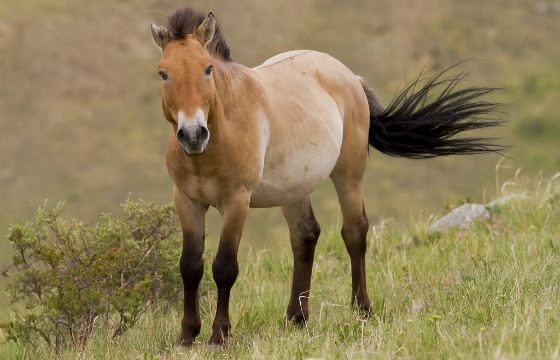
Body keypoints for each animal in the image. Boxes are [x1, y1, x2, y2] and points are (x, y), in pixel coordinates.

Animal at [150, 7, 504, 346]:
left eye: (207, 68)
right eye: (163, 73)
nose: (193, 134)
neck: (219, 136)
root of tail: (348, 75)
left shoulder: (237, 201)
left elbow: (224, 267)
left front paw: (218, 336)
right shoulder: (187, 201)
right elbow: (190, 266)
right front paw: (186, 336)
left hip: (349, 173)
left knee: (354, 232)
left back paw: (361, 309)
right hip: (293, 189)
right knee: (305, 235)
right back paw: (296, 317)